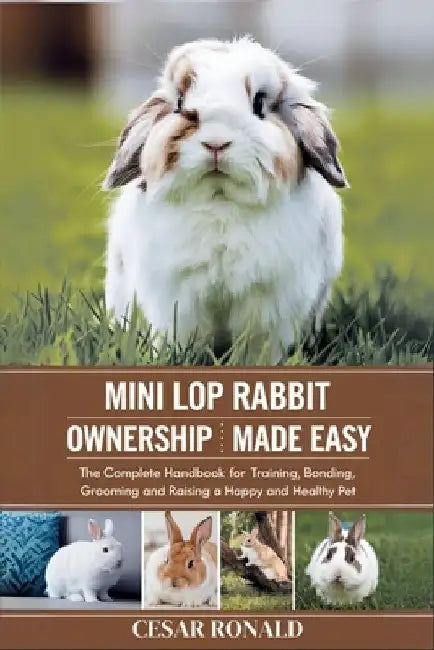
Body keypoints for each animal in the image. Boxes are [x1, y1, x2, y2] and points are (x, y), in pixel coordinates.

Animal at [103, 37, 347, 363]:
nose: (216, 142)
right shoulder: (177, 301)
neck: (220, 203)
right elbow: (183, 338)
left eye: (259, 104)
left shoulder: (269, 304)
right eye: (180, 104)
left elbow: (258, 346)